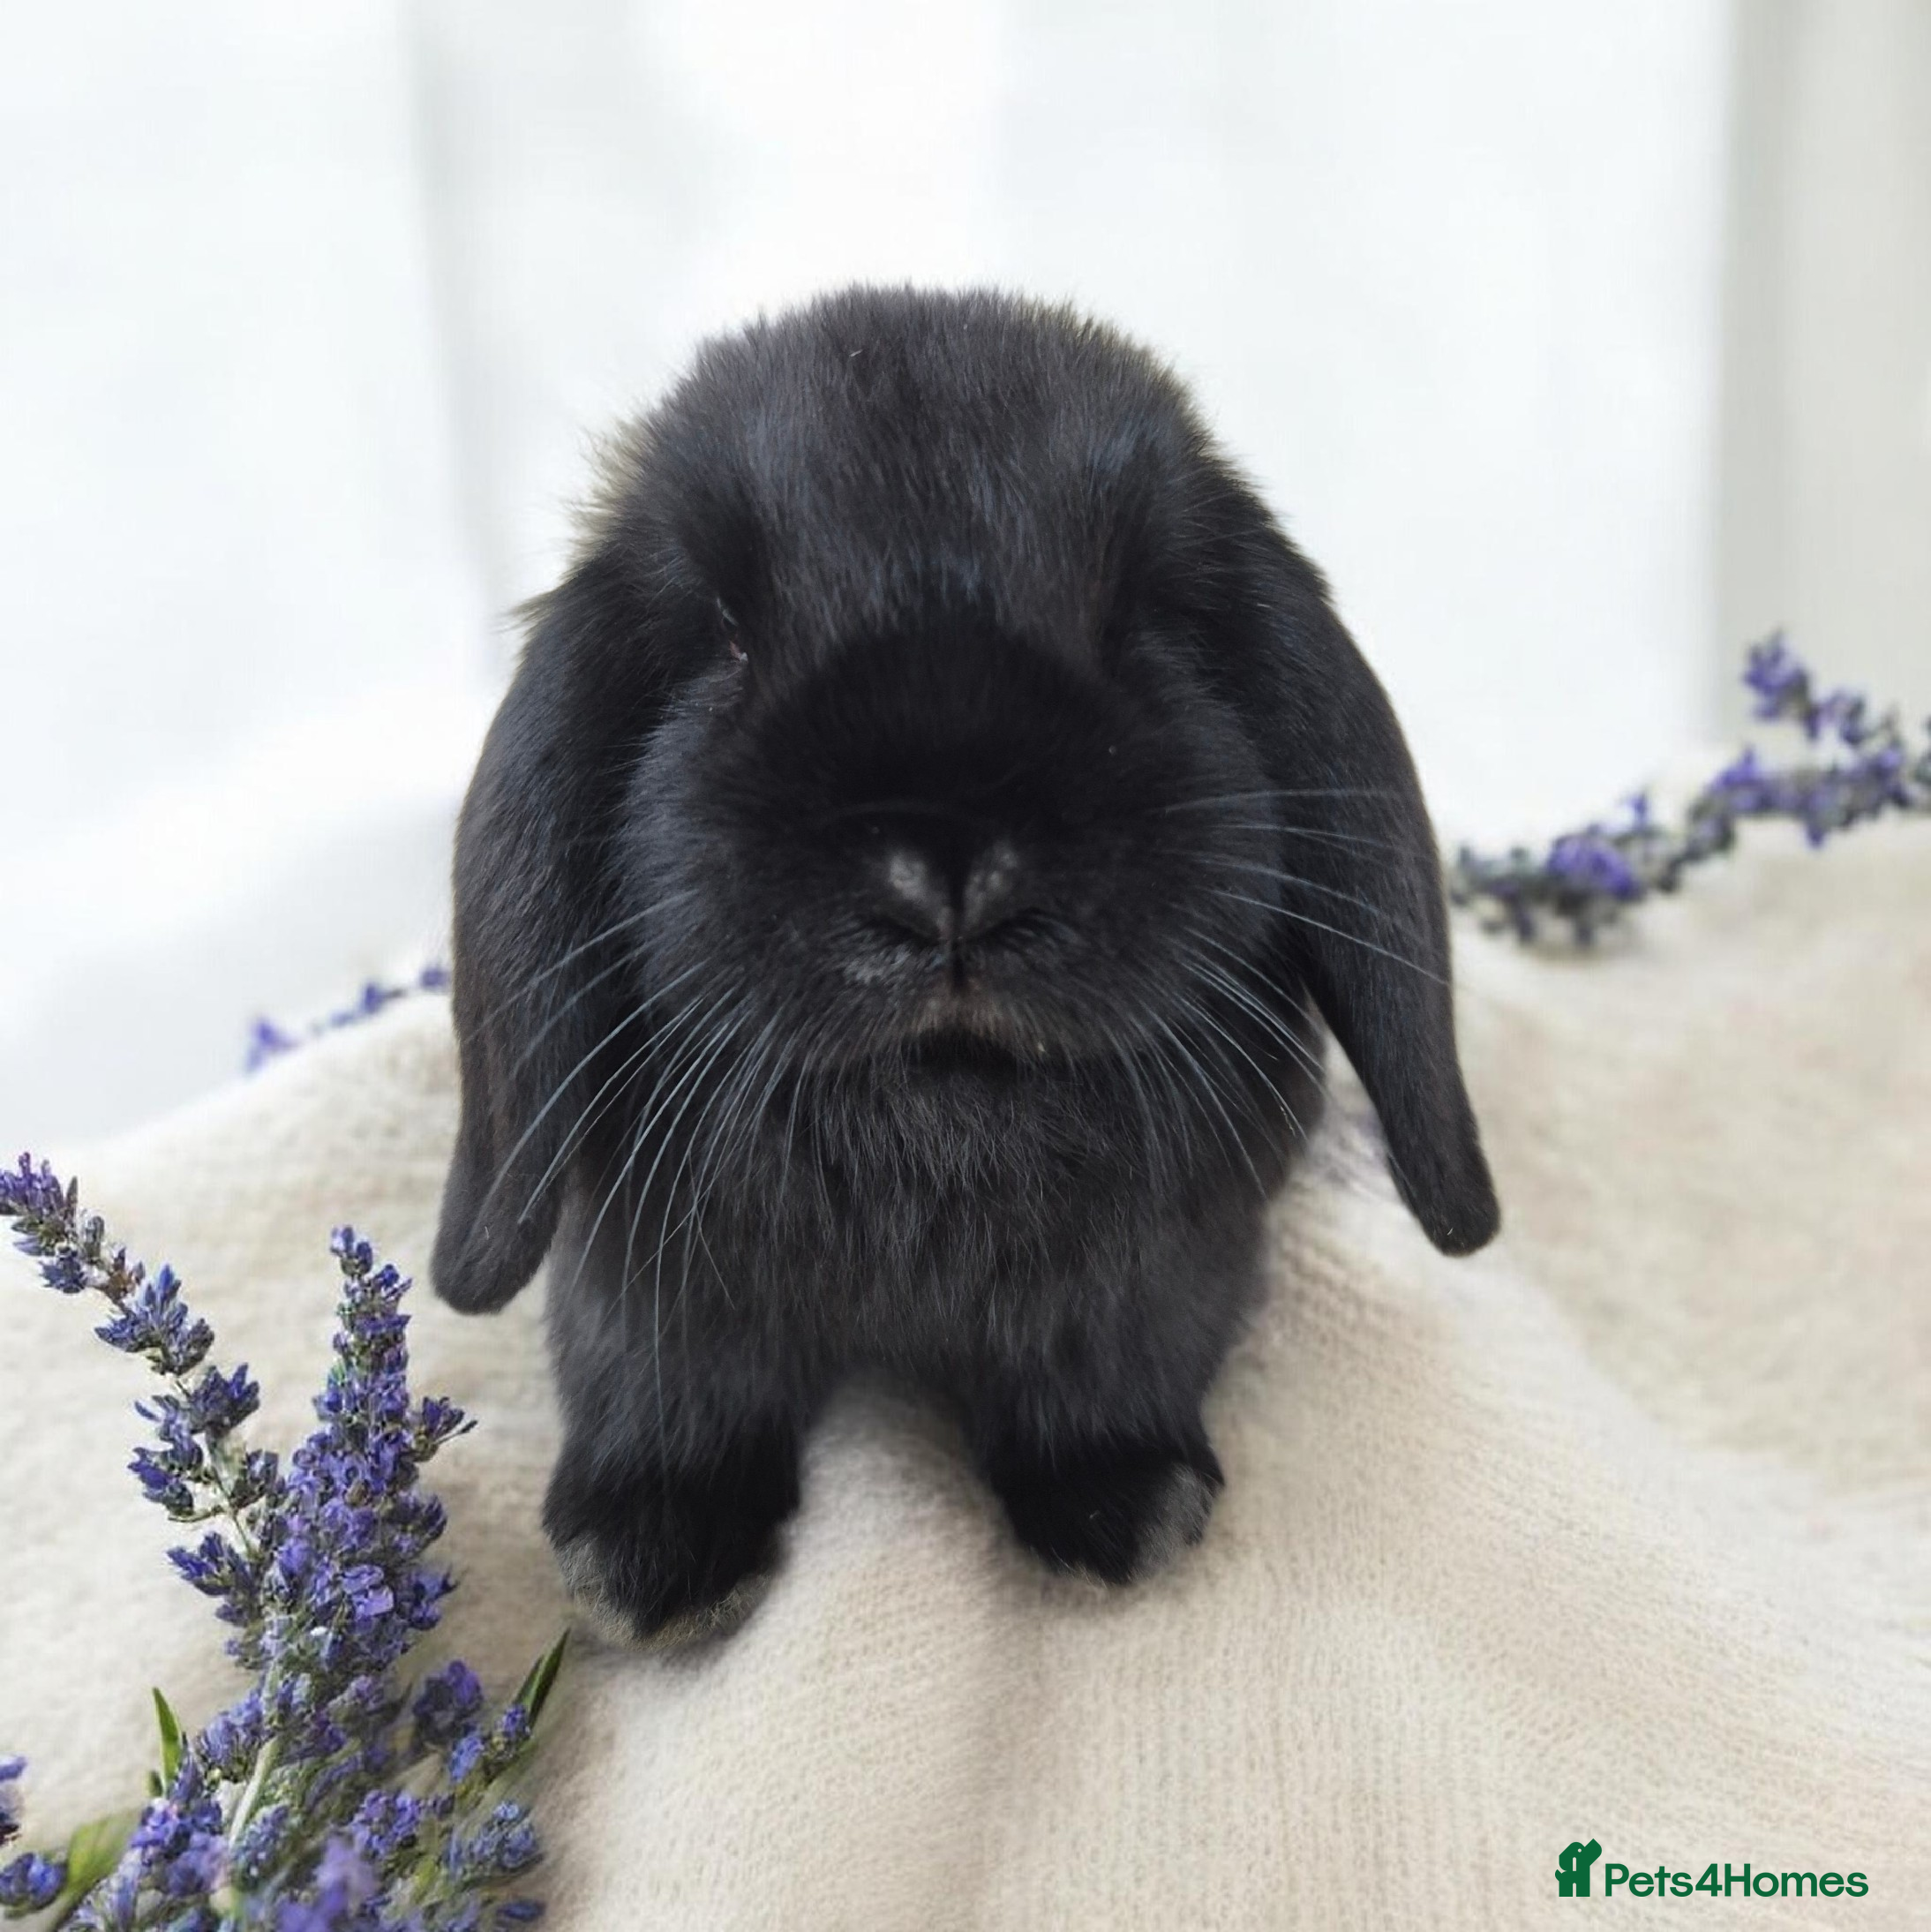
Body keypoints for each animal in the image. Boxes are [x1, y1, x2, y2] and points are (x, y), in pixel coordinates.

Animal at [430, 285, 1499, 1643]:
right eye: (721, 638)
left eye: (1144, 620)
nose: (946, 879)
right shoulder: (635, 1277)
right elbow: (660, 1385)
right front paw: (648, 1556)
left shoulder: (1161, 1278)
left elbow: (1107, 1380)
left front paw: (1124, 1510)